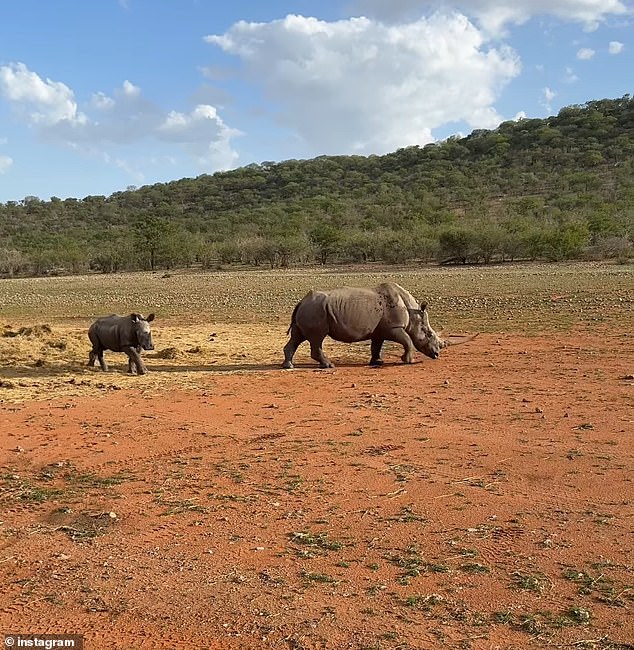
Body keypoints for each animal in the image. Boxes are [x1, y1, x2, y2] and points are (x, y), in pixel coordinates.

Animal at [284, 280, 466, 368]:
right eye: (428, 334)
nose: (437, 354)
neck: (413, 313)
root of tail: (301, 302)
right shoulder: (394, 327)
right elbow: (407, 340)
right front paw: (408, 361)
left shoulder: (380, 330)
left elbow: (376, 345)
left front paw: (377, 362)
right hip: (315, 310)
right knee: (317, 338)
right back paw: (329, 365)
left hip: (310, 309)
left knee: (298, 337)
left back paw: (289, 366)